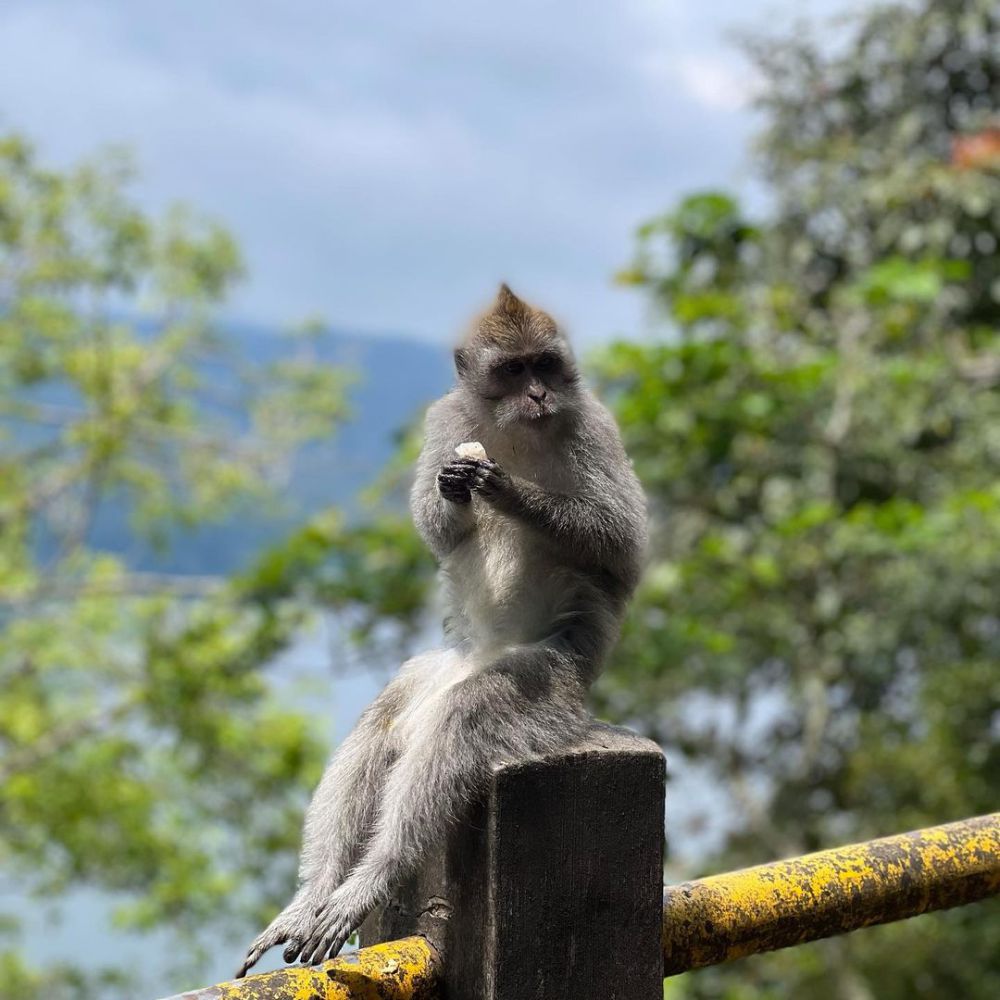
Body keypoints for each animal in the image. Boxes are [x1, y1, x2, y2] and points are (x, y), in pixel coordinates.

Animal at [235, 284, 648, 976]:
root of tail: (483, 656)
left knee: (464, 717)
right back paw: (316, 895)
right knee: (385, 722)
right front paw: (455, 488)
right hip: (440, 668)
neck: (515, 430)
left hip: (547, 682)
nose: (539, 394)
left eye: (544, 364)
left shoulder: (595, 428)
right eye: (513, 370)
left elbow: (622, 545)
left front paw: (507, 491)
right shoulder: (445, 421)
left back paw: (373, 875)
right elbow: (439, 529)